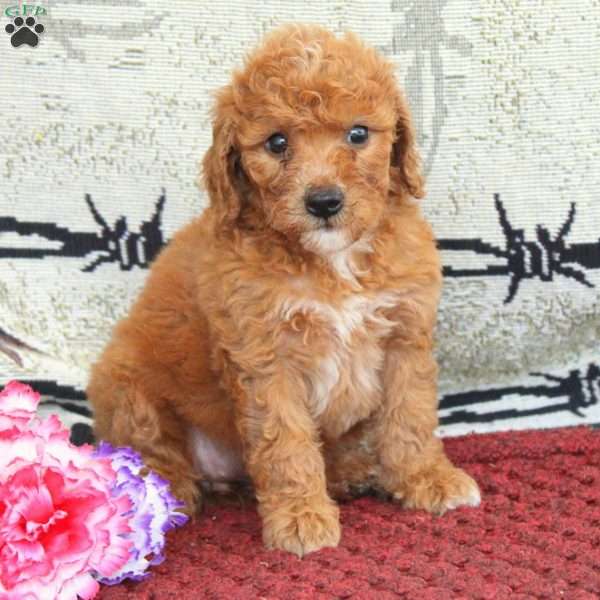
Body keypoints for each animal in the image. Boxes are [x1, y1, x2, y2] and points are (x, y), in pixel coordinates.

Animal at [88, 24, 478, 556]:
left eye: (358, 134)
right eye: (276, 143)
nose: (324, 202)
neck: (332, 261)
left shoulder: (404, 336)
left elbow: (411, 418)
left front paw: (427, 479)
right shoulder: (266, 359)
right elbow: (286, 444)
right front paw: (300, 517)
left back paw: (350, 472)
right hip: (125, 382)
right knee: (153, 450)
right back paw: (167, 497)